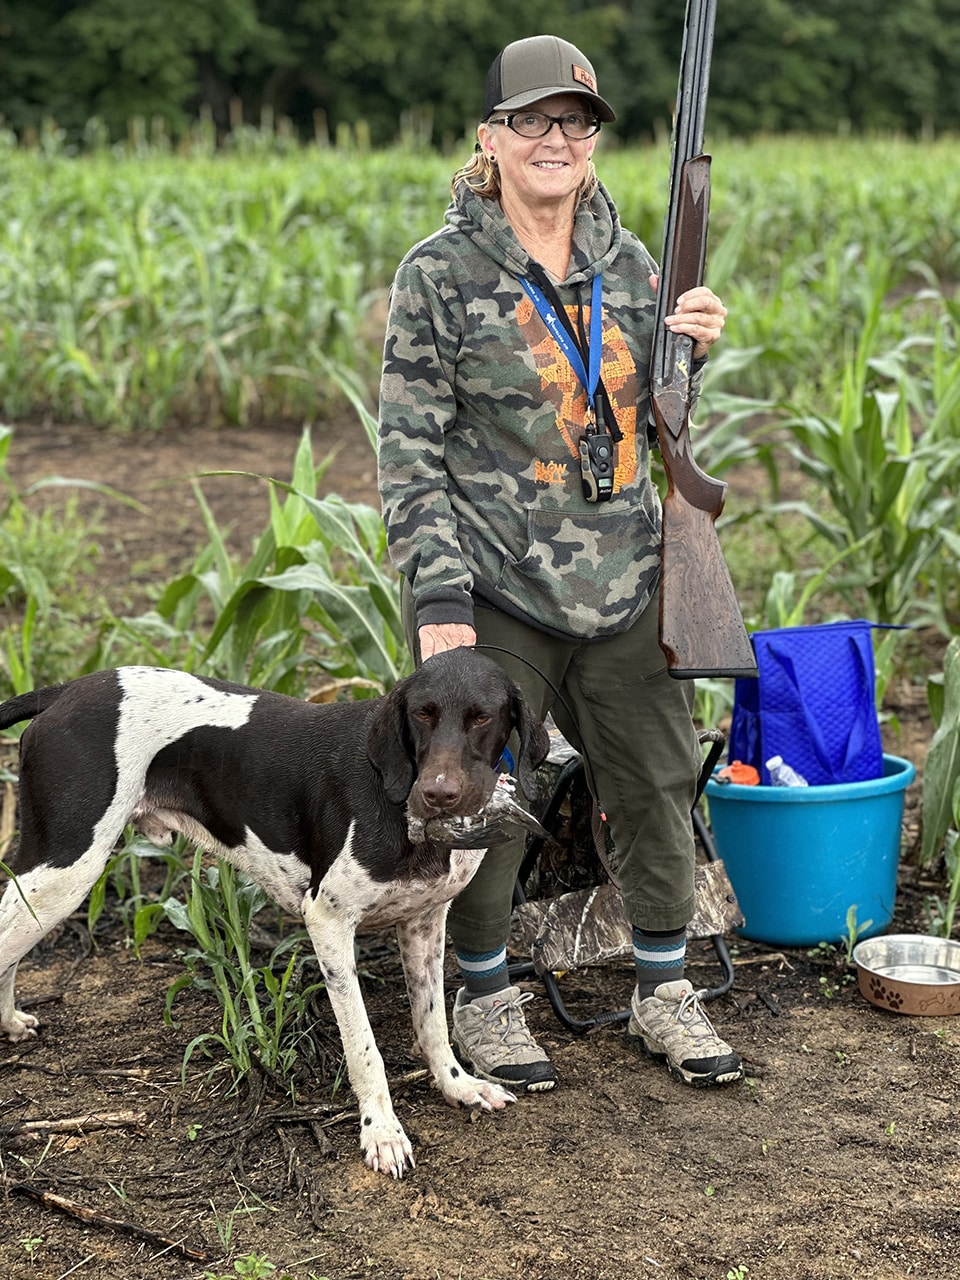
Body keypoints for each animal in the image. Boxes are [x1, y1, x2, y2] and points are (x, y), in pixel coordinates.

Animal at [0, 650, 547, 1177]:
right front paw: (382, 1132)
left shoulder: (425, 922)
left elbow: (432, 1023)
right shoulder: (327, 922)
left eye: (481, 717)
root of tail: (65, 691)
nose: (438, 795)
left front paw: (458, 1087)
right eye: (422, 713)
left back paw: (8, 1023)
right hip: (63, 870)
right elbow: (364, 1048)